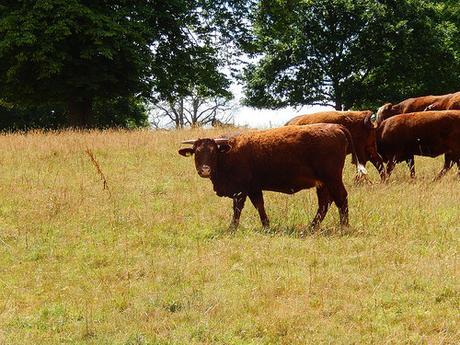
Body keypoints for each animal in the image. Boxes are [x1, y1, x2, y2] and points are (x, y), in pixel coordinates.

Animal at [178, 122, 364, 230]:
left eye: (213, 152)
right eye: (196, 152)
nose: (205, 170)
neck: (228, 153)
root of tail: (336, 127)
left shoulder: (241, 191)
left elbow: (237, 209)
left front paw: (232, 228)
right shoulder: (254, 188)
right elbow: (260, 205)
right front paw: (266, 225)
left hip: (332, 178)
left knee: (341, 198)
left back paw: (344, 226)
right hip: (323, 183)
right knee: (325, 203)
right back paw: (311, 226)